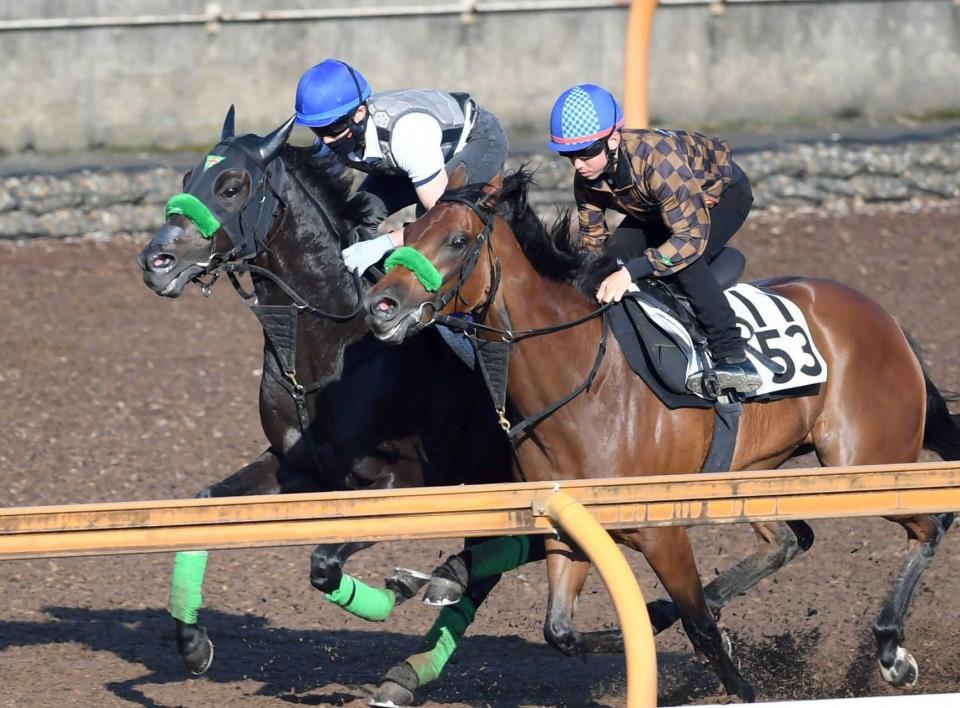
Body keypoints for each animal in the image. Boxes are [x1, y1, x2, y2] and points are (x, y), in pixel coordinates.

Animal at [139, 112, 512, 696]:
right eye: (185, 178)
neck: (332, 345)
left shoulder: (403, 481)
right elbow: (205, 506)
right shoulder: (298, 467)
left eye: (231, 186)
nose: (156, 261)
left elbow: (323, 564)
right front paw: (193, 644)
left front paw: (390, 593)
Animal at [366, 167, 960, 704]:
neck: (581, 378)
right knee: (794, 538)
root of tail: (885, 318)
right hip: (753, 476)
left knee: (929, 525)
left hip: (865, 463)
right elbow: (561, 631)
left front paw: (739, 682)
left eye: (457, 240)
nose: (381, 306)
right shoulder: (568, 527)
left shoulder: (664, 532)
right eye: (408, 233)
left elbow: (699, 629)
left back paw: (891, 650)